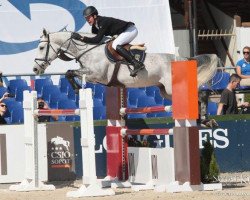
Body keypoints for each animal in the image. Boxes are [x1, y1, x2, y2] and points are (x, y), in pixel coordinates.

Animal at [33, 28, 223, 123]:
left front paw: (76, 88)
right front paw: (77, 88)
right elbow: (69, 73)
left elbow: (69, 73)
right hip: (165, 92)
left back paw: (205, 119)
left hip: (172, 88)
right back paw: (202, 120)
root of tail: (183, 59)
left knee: (201, 94)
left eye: (42, 47)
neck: (88, 50)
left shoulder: (96, 74)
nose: (35, 70)